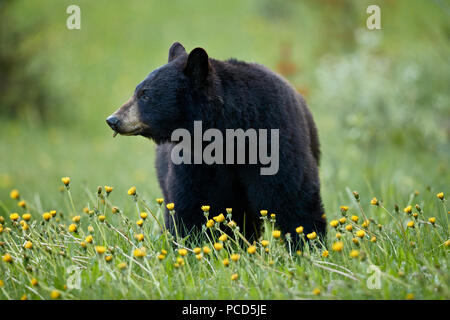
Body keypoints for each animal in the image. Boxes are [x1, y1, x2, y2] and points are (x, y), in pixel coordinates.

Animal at [109, 42, 326, 242]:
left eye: (145, 94)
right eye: (137, 91)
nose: (113, 120)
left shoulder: (274, 139)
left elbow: (293, 198)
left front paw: (308, 244)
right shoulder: (195, 160)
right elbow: (191, 204)